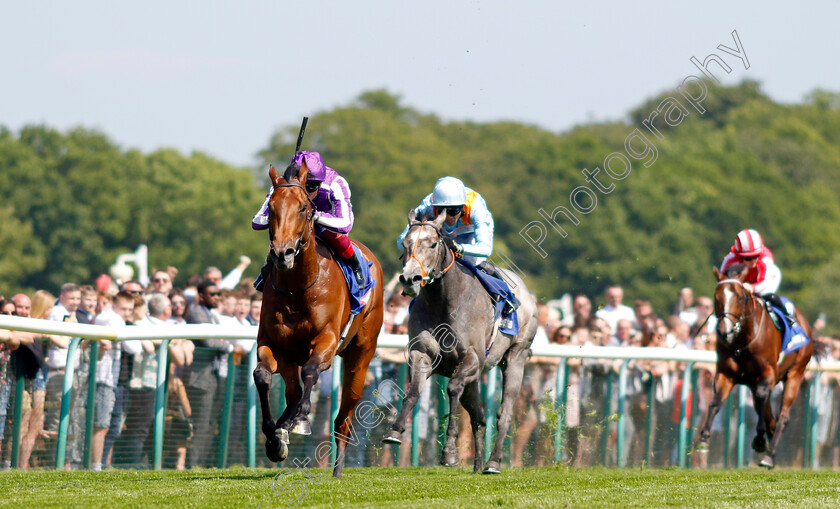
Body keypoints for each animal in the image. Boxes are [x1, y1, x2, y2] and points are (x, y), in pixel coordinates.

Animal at [254, 162, 386, 476]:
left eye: (303, 208)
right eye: (271, 207)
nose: (282, 254)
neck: (297, 289)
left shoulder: (326, 341)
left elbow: (312, 371)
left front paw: (300, 420)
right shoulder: (272, 344)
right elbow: (262, 376)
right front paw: (273, 438)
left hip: (361, 355)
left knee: (343, 419)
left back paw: (336, 468)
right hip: (291, 358)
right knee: (293, 391)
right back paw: (282, 428)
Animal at [382, 209, 540, 472]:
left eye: (433, 244)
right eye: (405, 243)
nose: (409, 279)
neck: (444, 301)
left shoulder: (472, 358)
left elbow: (453, 388)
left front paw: (449, 452)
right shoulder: (422, 354)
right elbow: (413, 390)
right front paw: (394, 430)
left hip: (515, 356)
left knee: (504, 413)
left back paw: (493, 463)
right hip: (476, 379)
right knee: (478, 416)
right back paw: (477, 466)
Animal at [696, 264, 812, 466]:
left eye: (740, 297)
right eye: (716, 297)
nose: (725, 331)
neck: (743, 340)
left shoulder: (769, 372)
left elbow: (762, 401)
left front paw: (759, 440)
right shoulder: (726, 374)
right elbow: (716, 401)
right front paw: (703, 439)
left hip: (796, 372)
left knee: (782, 416)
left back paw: (770, 455)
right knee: (768, 414)